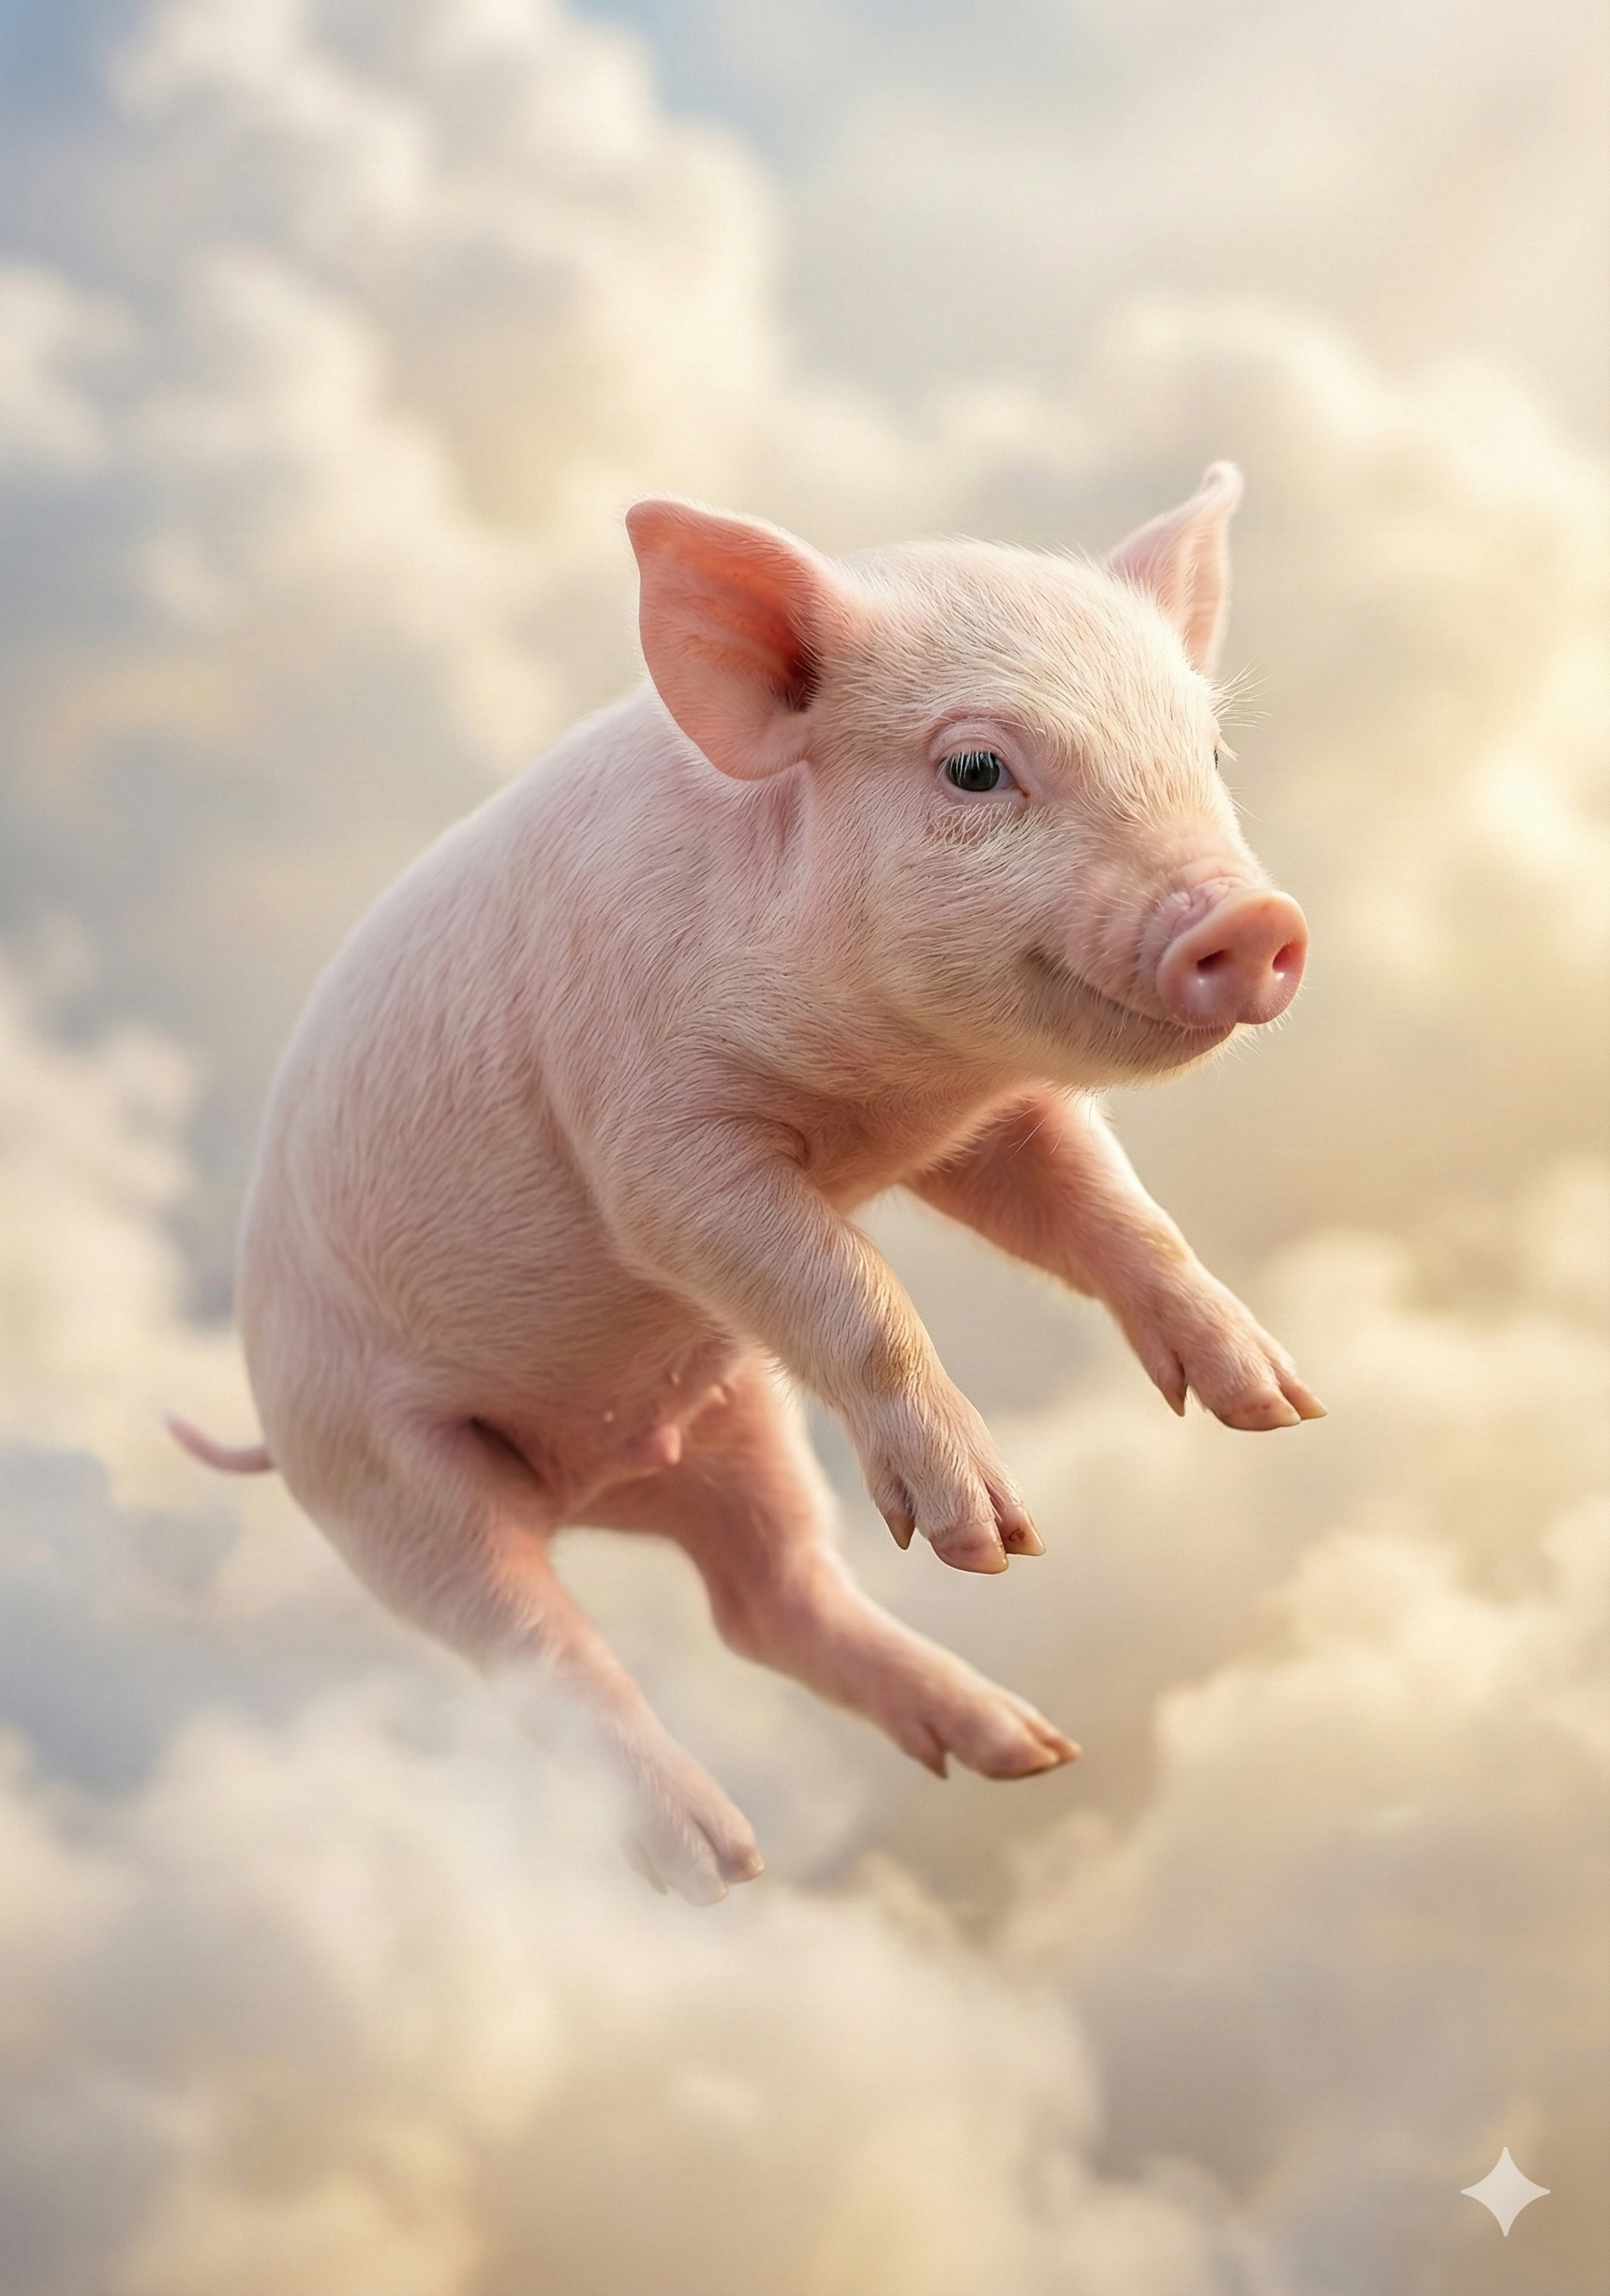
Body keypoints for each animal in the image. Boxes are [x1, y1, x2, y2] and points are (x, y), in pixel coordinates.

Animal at [170, 461, 1323, 1904]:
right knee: (541, 1654)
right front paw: (1001, 1533)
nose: (1257, 920)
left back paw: (1023, 1747)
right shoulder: (652, 1142)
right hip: (378, 1477)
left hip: (737, 1421)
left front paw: (1280, 1405)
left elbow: (1118, 1217)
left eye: (1209, 756)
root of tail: (592, 1486)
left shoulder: (1000, 1121)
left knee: (768, 1603)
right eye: (976, 766)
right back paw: (720, 1865)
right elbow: (850, 1288)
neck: (888, 1090)